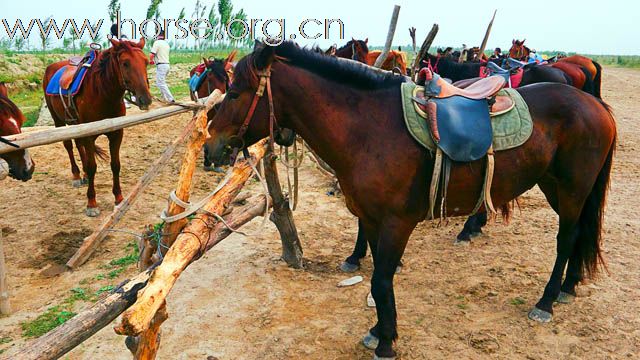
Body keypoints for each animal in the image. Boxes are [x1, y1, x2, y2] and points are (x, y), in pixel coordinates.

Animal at [43, 40, 152, 218]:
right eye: (125, 63)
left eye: (146, 62)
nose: (145, 99)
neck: (103, 93)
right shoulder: (89, 135)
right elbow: (92, 167)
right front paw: (92, 203)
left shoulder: (116, 134)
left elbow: (115, 164)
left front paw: (119, 198)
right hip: (58, 121)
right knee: (69, 145)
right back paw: (76, 175)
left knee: (78, 145)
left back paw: (84, 175)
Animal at [205, 41, 616, 358]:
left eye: (236, 92)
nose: (210, 147)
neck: (369, 128)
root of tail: (595, 106)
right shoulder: (372, 220)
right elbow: (377, 278)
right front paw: (379, 331)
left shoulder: (395, 223)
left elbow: (381, 281)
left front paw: (386, 343)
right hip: (555, 186)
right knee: (580, 233)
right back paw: (568, 287)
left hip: (571, 189)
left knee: (566, 239)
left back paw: (546, 301)